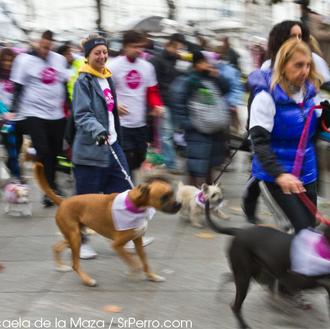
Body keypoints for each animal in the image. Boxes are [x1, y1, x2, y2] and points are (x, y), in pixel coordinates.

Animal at [33, 161, 180, 284]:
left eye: (172, 193)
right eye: (164, 197)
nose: (179, 204)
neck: (134, 205)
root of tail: (63, 201)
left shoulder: (138, 241)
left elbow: (145, 262)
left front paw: (152, 276)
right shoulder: (117, 245)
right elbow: (134, 262)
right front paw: (133, 272)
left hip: (75, 235)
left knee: (57, 247)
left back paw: (61, 267)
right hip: (75, 237)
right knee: (75, 264)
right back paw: (87, 280)